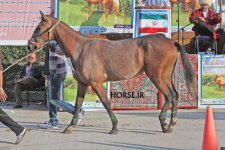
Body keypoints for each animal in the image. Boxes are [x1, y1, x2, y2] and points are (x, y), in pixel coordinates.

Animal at [27, 11, 197, 134]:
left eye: (39, 27)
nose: (30, 45)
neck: (81, 49)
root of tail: (171, 41)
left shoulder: (96, 83)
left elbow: (106, 103)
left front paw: (114, 127)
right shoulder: (83, 84)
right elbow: (77, 105)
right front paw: (70, 126)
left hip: (157, 77)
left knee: (169, 96)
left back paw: (164, 123)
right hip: (166, 77)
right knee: (175, 95)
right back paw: (171, 123)